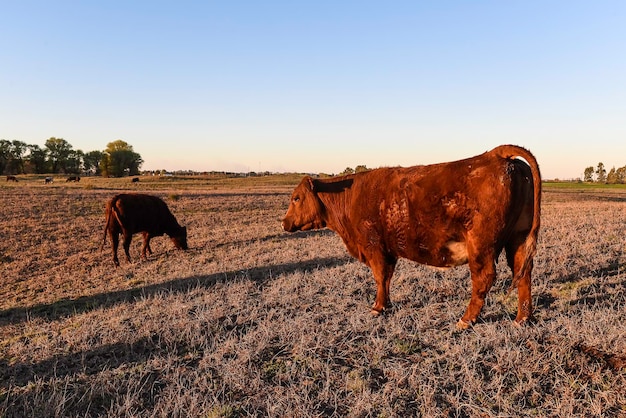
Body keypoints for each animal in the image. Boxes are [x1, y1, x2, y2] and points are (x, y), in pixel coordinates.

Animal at [280, 145, 540, 328]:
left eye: (296, 198)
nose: (283, 222)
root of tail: (496, 155)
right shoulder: (388, 250)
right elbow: (386, 278)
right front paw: (386, 304)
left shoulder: (374, 246)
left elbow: (379, 277)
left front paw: (377, 307)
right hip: (519, 238)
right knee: (523, 272)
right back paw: (522, 318)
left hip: (482, 245)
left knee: (484, 278)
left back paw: (466, 320)